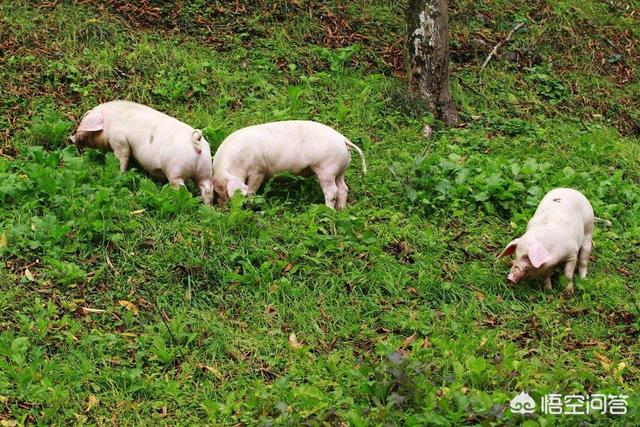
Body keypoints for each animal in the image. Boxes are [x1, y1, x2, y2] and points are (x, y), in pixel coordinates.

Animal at [70, 102, 212, 206]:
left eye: (83, 121)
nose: (70, 138)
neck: (109, 123)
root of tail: (196, 142)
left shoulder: (119, 141)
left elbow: (122, 157)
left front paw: (119, 173)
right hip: (205, 170)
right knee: (207, 189)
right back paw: (208, 209)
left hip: (176, 172)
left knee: (182, 189)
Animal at [212, 120, 368, 211]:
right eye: (216, 191)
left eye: (222, 190)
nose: (221, 208)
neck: (237, 162)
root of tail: (343, 140)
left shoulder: (258, 170)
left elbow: (251, 189)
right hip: (339, 170)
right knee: (343, 188)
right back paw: (341, 210)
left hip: (326, 169)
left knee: (332, 191)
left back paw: (328, 210)